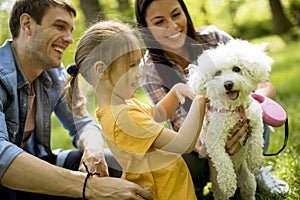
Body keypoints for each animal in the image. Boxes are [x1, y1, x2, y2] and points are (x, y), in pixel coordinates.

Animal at [189, 39, 274, 200]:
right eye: (217, 73)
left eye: (236, 69)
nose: (228, 84)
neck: (235, 109)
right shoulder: (213, 140)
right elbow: (222, 160)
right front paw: (228, 183)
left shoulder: (256, 119)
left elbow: (257, 139)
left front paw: (255, 160)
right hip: (217, 187)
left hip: (248, 180)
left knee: (248, 192)